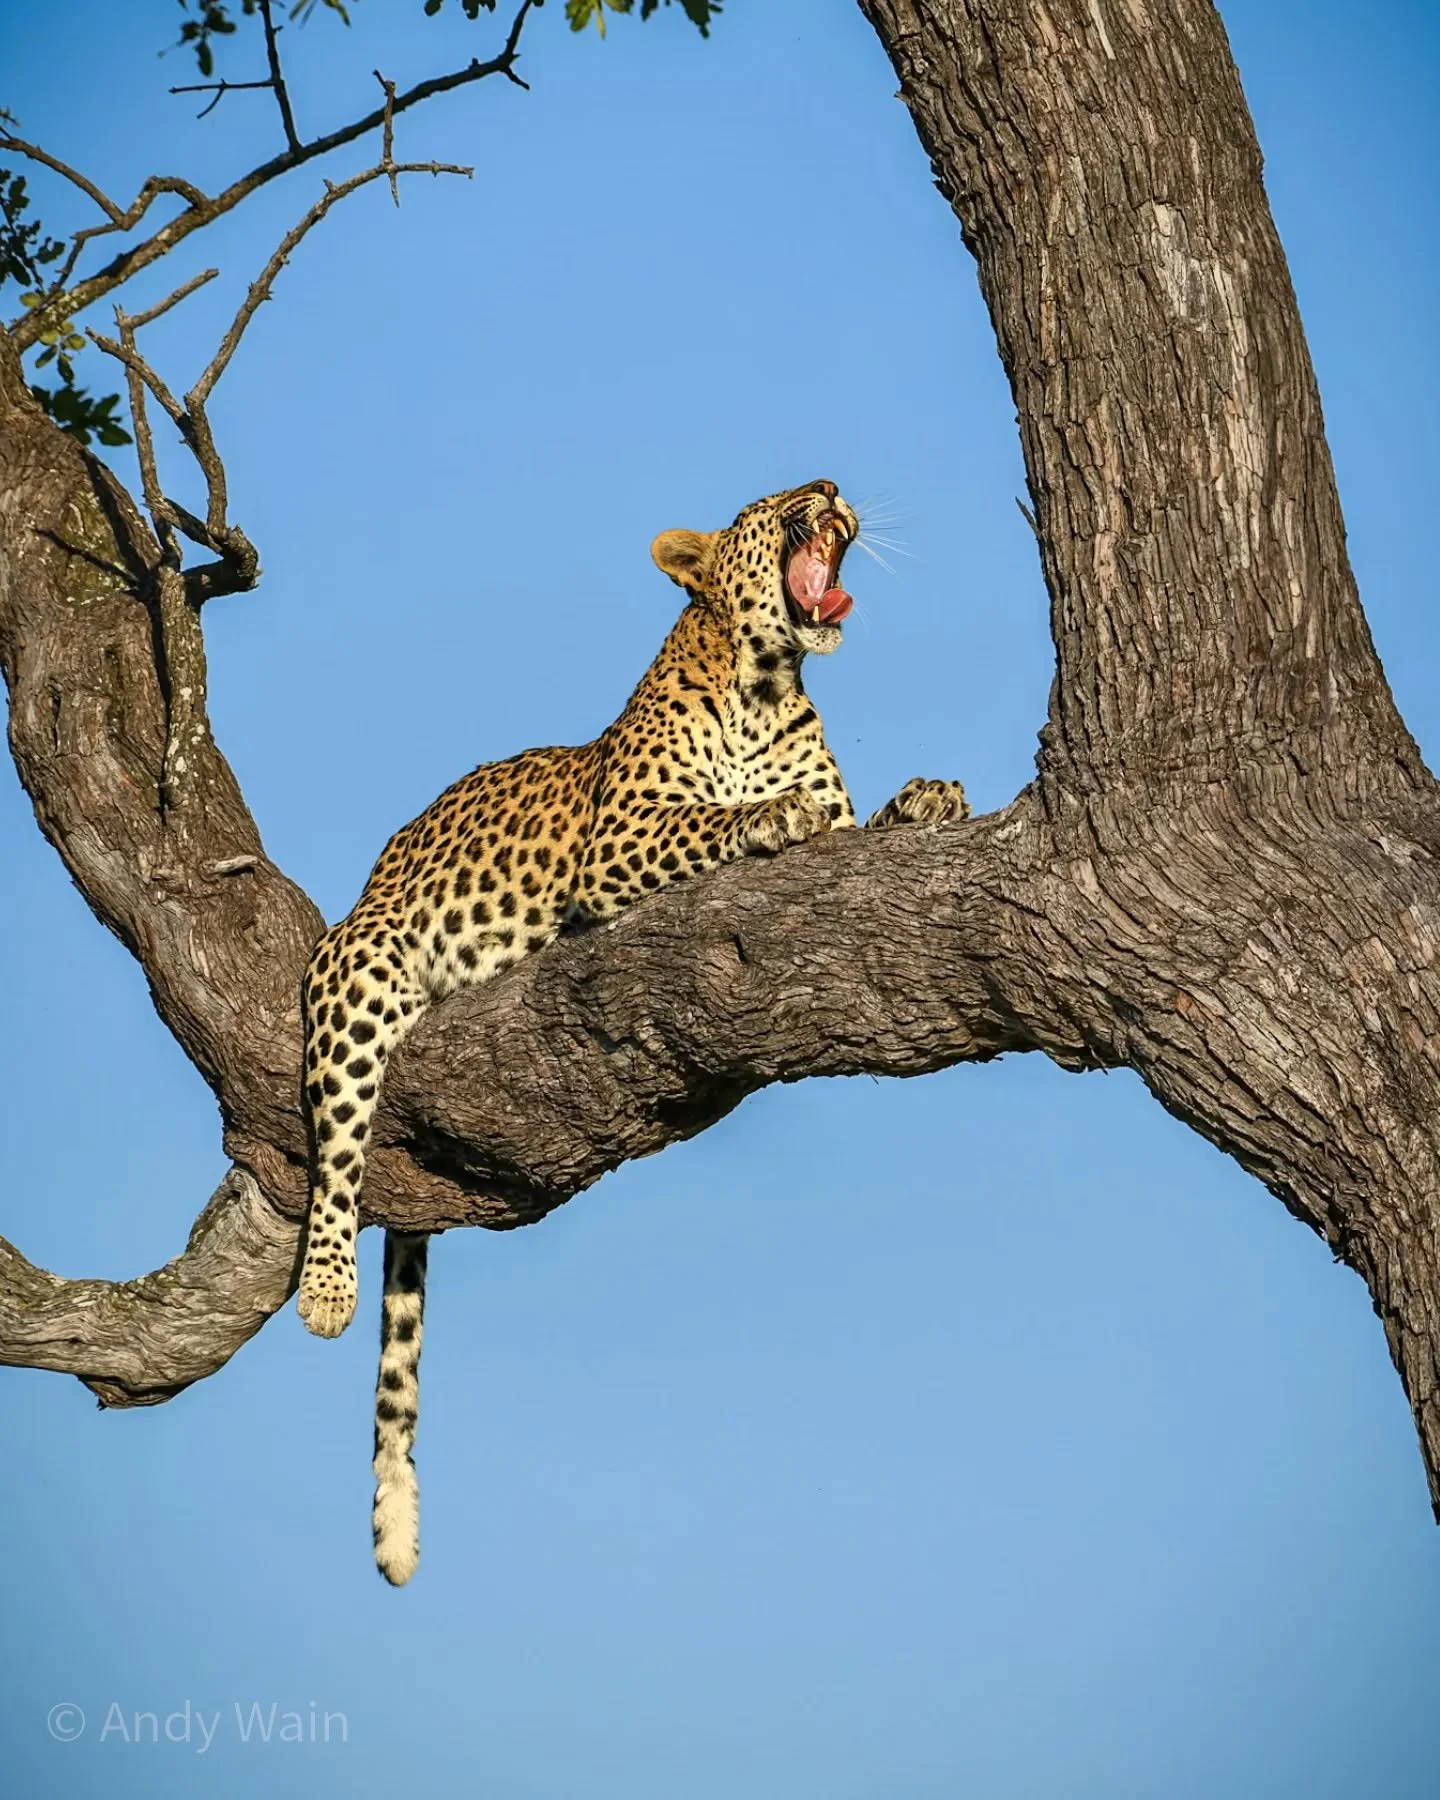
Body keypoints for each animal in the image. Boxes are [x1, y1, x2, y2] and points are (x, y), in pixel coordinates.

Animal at [294, 478, 969, 1585]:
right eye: (777, 498)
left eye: (816, 488)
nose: (830, 489)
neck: (767, 686)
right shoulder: (617, 844)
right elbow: (709, 822)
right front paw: (770, 813)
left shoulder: (840, 831)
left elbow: (858, 825)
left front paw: (927, 798)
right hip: (362, 974)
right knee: (340, 1149)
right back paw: (324, 1288)